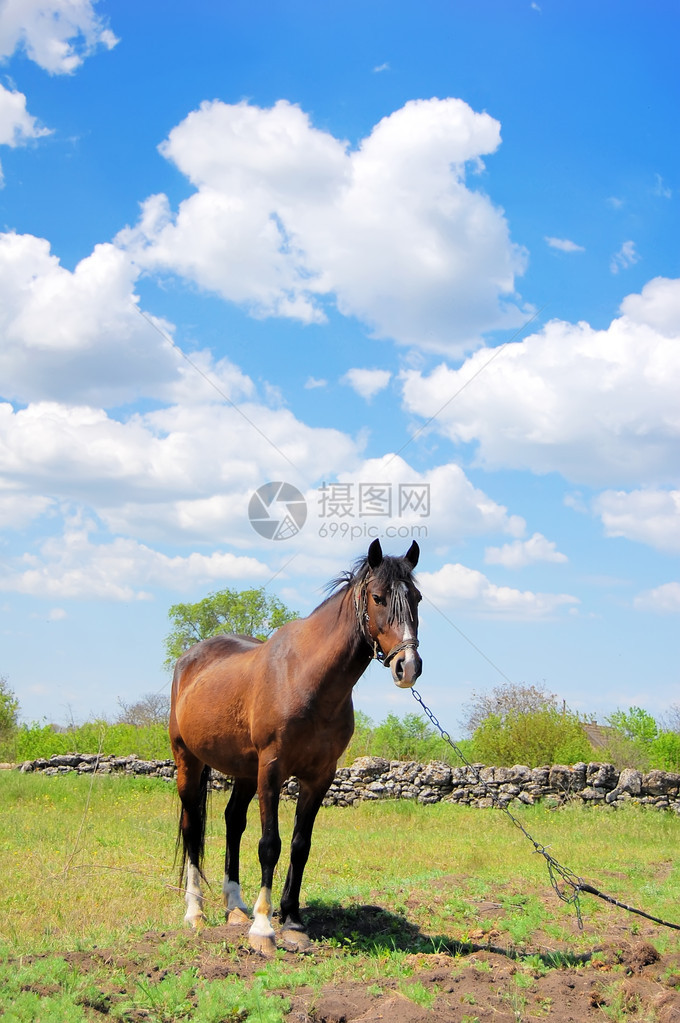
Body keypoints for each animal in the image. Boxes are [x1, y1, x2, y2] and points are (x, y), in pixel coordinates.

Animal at [168, 540, 419, 953]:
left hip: (244, 772)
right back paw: (195, 913)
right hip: (188, 762)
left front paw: (293, 921)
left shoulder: (319, 776)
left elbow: (301, 845)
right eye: (378, 598)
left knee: (233, 822)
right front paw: (263, 928)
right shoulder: (272, 769)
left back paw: (235, 906)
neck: (305, 677)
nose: (408, 666)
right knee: (192, 827)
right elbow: (270, 844)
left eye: (416, 597)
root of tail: (188, 660)